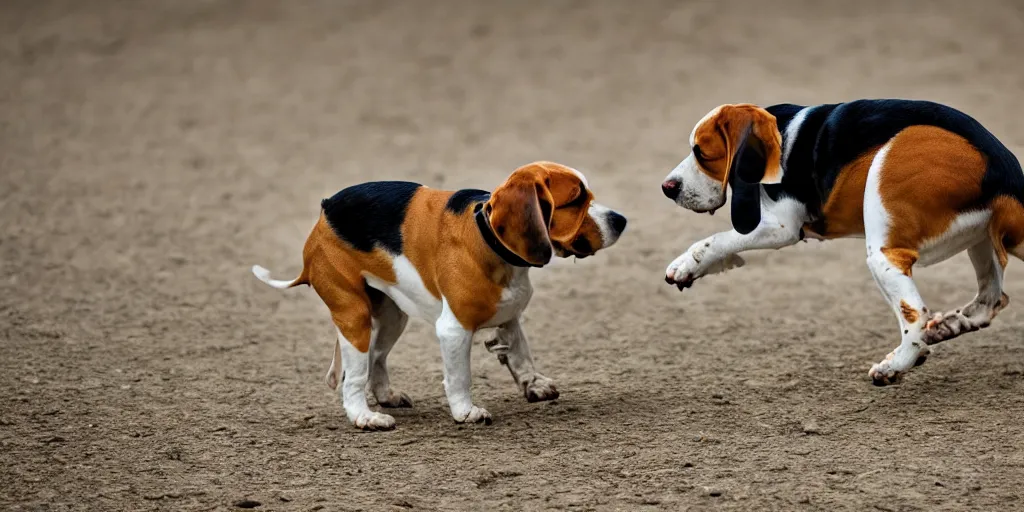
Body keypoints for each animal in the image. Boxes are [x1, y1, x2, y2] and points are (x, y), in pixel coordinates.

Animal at [251, 161, 626, 430]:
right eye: (575, 200)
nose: (621, 220)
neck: (487, 236)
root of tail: (325, 210)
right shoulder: (454, 330)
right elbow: (460, 377)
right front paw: (465, 412)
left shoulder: (509, 315)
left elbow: (521, 353)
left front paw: (532, 383)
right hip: (353, 316)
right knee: (353, 378)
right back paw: (365, 417)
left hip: (391, 315)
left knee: (376, 357)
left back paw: (386, 396)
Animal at [663, 99, 1024, 385]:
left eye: (702, 154)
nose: (668, 187)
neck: (785, 136)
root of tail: (1003, 173)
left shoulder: (781, 227)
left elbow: (716, 240)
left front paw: (684, 263)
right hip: (984, 242)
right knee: (990, 300)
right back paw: (948, 326)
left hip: (882, 242)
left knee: (916, 314)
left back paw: (896, 364)